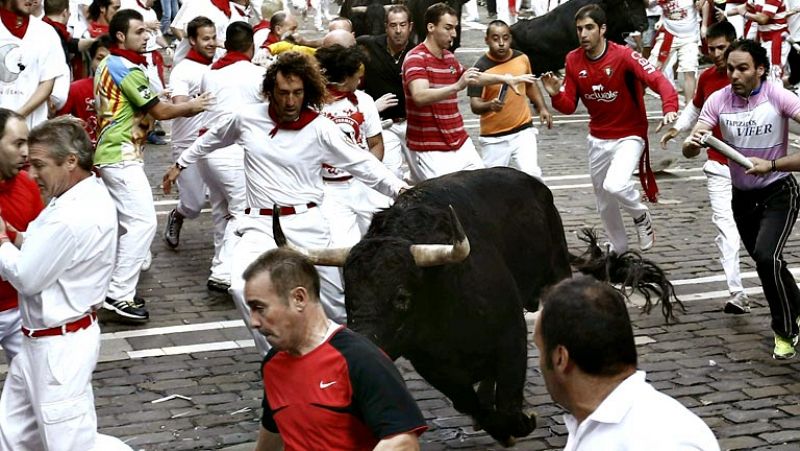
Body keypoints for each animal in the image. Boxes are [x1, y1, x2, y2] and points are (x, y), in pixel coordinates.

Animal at [272, 168, 680, 446]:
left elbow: (509, 393)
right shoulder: (431, 363)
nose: (361, 349)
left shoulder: (510, 335)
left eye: (402, 297)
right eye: (349, 296)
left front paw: (520, 422)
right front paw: (497, 424)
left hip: (554, 272)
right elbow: (468, 401)